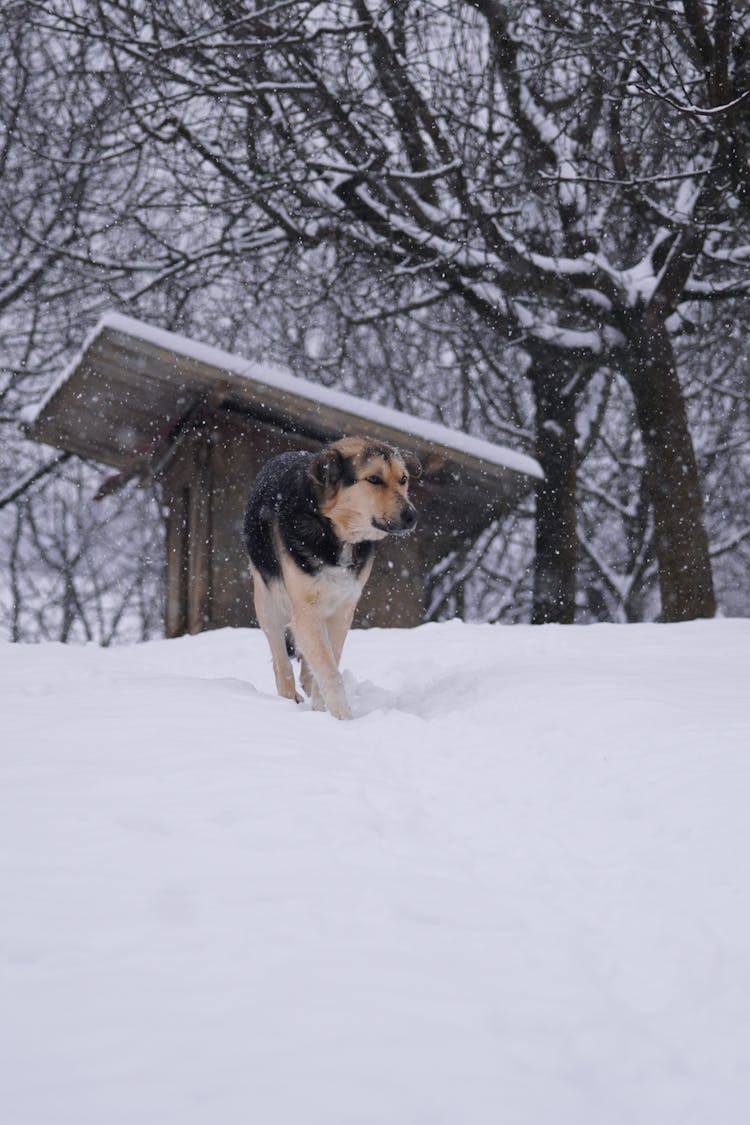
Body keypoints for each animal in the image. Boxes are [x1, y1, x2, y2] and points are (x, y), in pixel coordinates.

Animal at [246, 438, 422, 720]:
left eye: (403, 479)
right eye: (373, 479)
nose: (411, 516)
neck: (334, 531)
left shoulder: (343, 609)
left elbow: (328, 663)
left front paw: (323, 709)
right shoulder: (306, 610)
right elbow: (329, 671)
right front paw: (343, 719)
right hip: (269, 603)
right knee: (281, 660)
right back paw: (288, 697)